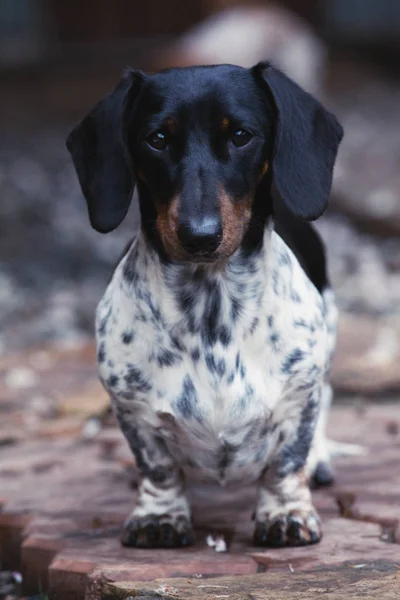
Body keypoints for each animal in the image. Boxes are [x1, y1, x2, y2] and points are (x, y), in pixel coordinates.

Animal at [67, 61, 342, 548]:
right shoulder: (132, 409)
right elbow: (157, 467)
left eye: (241, 135)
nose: (200, 235)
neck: (211, 311)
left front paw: (286, 513)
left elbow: (286, 460)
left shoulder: (299, 395)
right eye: (157, 138)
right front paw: (159, 516)